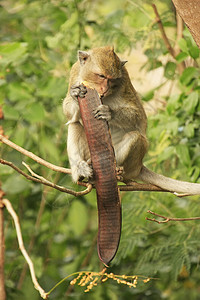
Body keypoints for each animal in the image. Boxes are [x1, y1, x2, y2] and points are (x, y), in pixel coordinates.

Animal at [63, 44, 200, 195]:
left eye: (112, 79)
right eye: (101, 76)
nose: (104, 89)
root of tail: (139, 166)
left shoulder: (124, 81)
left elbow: (137, 114)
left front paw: (109, 112)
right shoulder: (74, 73)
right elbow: (69, 114)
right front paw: (75, 93)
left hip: (131, 165)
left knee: (136, 138)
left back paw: (116, 172)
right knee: (74, 125)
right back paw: (81, 170)